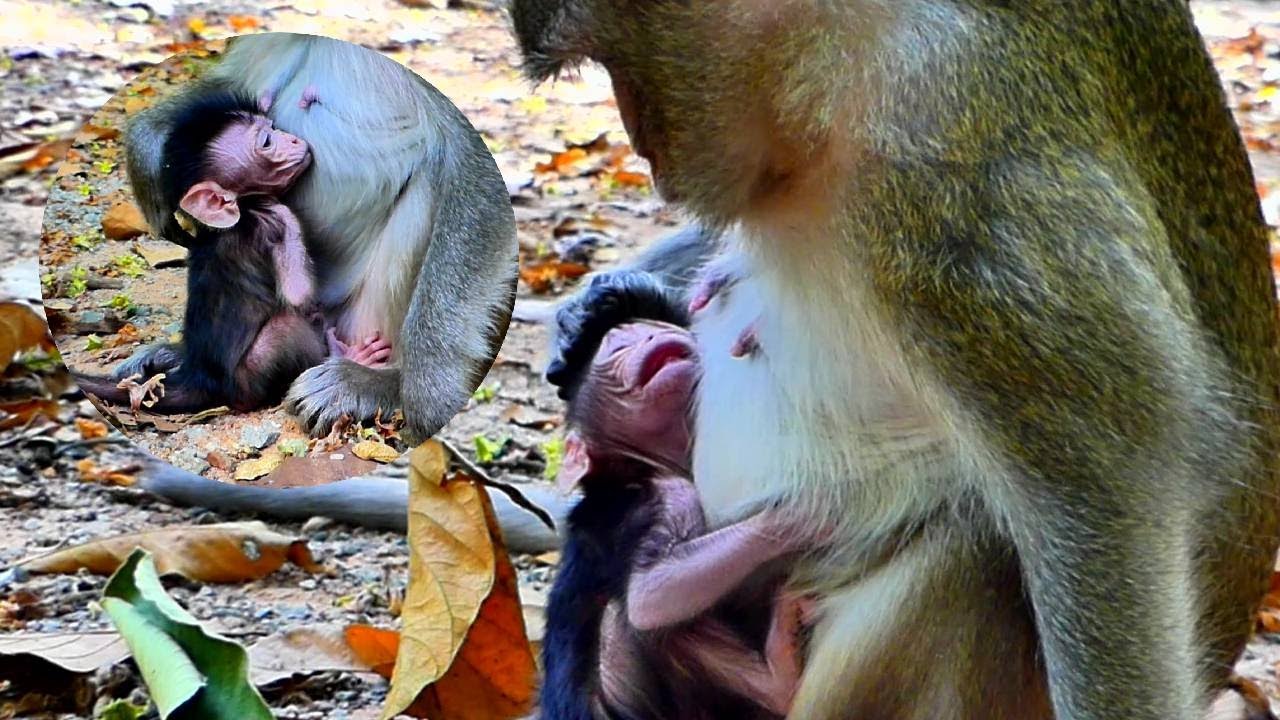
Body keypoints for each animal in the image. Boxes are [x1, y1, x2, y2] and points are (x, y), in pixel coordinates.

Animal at [78, 91, 390, 413]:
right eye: (267, 141)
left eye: (273, 127)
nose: (293, 139)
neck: (239, 211)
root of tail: (200, 378)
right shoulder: (277, 217)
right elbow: (297, 295)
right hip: (247, 383)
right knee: (286, 326)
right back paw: (342, 358)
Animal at [123, 33, 518, 442]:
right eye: (267, 141)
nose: (293, 145)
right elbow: (229, 86)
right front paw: (147, 150)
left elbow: (473, 164)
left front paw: (430, 402)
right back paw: (179, 355)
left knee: (429, 178)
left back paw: (378, 381)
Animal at [545, 318, 820, 720]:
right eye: (616, 347)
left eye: (652, 327)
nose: (643, 332)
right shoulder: (671, 496)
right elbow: (652, 594)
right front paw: (809, 511)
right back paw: (780, 679)